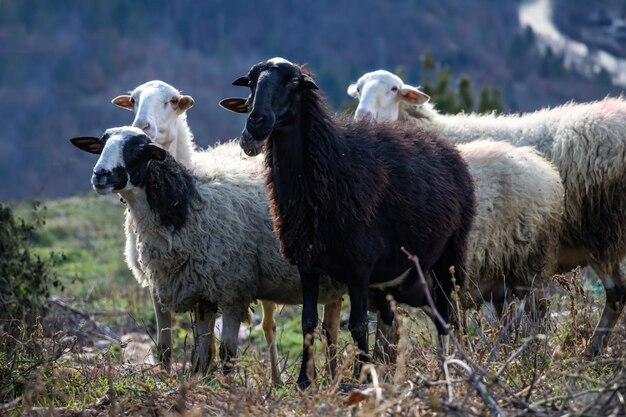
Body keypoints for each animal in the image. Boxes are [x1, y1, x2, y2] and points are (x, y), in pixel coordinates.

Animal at [112, 79, 346, 382]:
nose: (142, 126)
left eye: (173, 101)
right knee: (272, 325)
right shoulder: (160, 284)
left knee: (328, 326)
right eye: (133, 100)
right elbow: (169, 345)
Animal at [348, 69, 624, 354]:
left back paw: (591, 348)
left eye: (394, 89)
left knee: (614, 295)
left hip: (597, 234)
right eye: (358, 89)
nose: (363, 118)